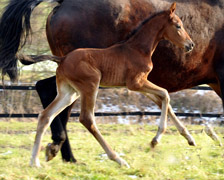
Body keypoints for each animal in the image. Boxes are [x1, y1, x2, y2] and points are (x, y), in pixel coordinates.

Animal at [0, 0, 223, 162]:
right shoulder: (136, 83)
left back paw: (40, 158)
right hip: (90, 86)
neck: (137, 47)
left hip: (70, 91)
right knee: (85, 118)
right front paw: (156, 139)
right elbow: (166, 96)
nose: (190, 45)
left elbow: (163, 100)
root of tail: (63, 59)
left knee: (46, 113)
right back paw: (108, 158)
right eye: (178, 25)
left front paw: (190, 137)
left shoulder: (140, 84)